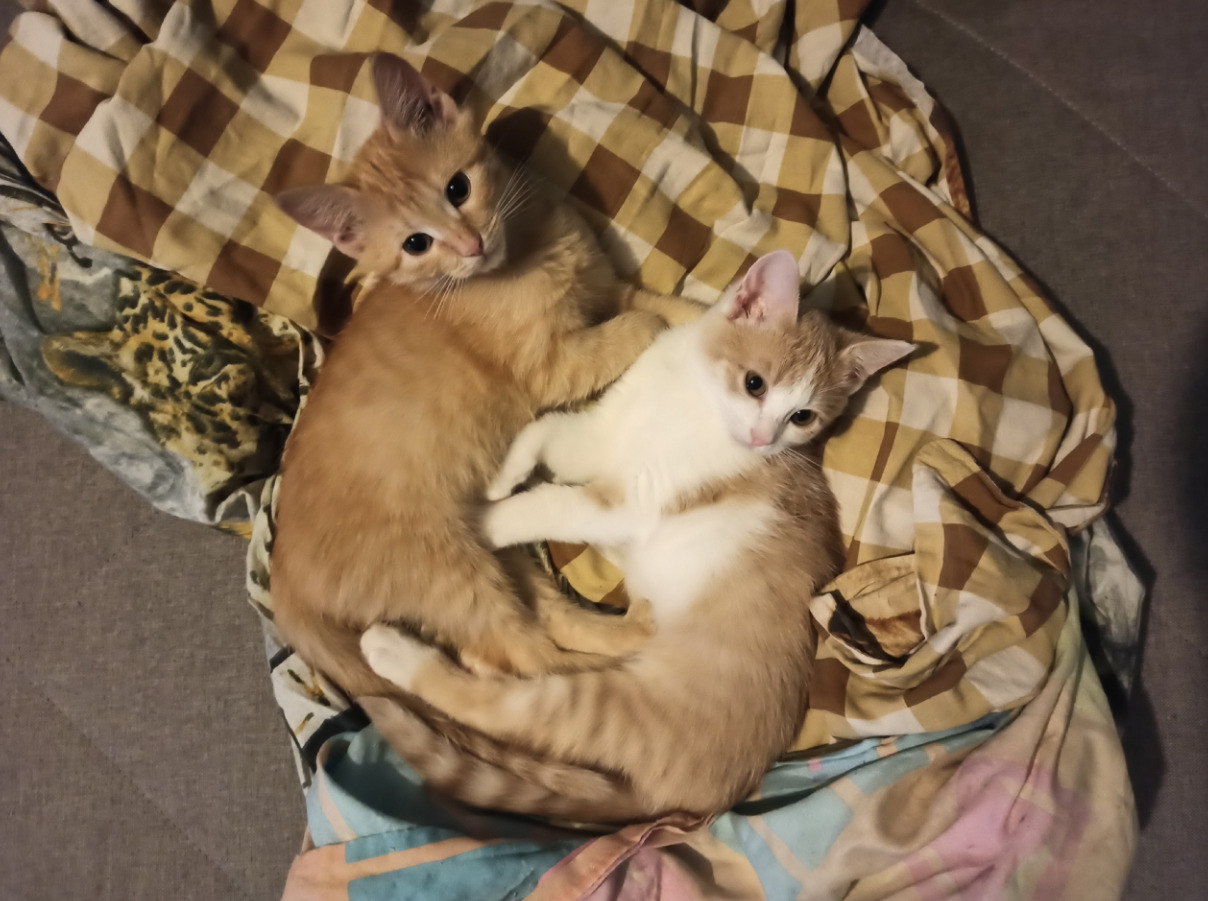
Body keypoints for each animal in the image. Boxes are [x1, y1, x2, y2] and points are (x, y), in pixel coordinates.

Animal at [269, 52, 703, 713]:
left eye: (458, 188)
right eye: (416, 243)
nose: (469, 244)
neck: (531, 251)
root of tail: (282, 581)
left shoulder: (610, 291)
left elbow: (670, 308)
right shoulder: (556, 363)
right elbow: (643, 326)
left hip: (498, 554)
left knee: (548, 623)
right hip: (452, 574)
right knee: (519, 662)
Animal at [360, 250, 915, 823]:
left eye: (802, 417)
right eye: (754, 384)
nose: (763, 440)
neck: (690, 403)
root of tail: (690, 805)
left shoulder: (633, 501)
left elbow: (550, 502)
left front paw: (484, 519)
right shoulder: (603, 433)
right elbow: (546, 429)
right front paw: (501, 477)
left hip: (609, 705)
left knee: (502, 707)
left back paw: (395, 651)